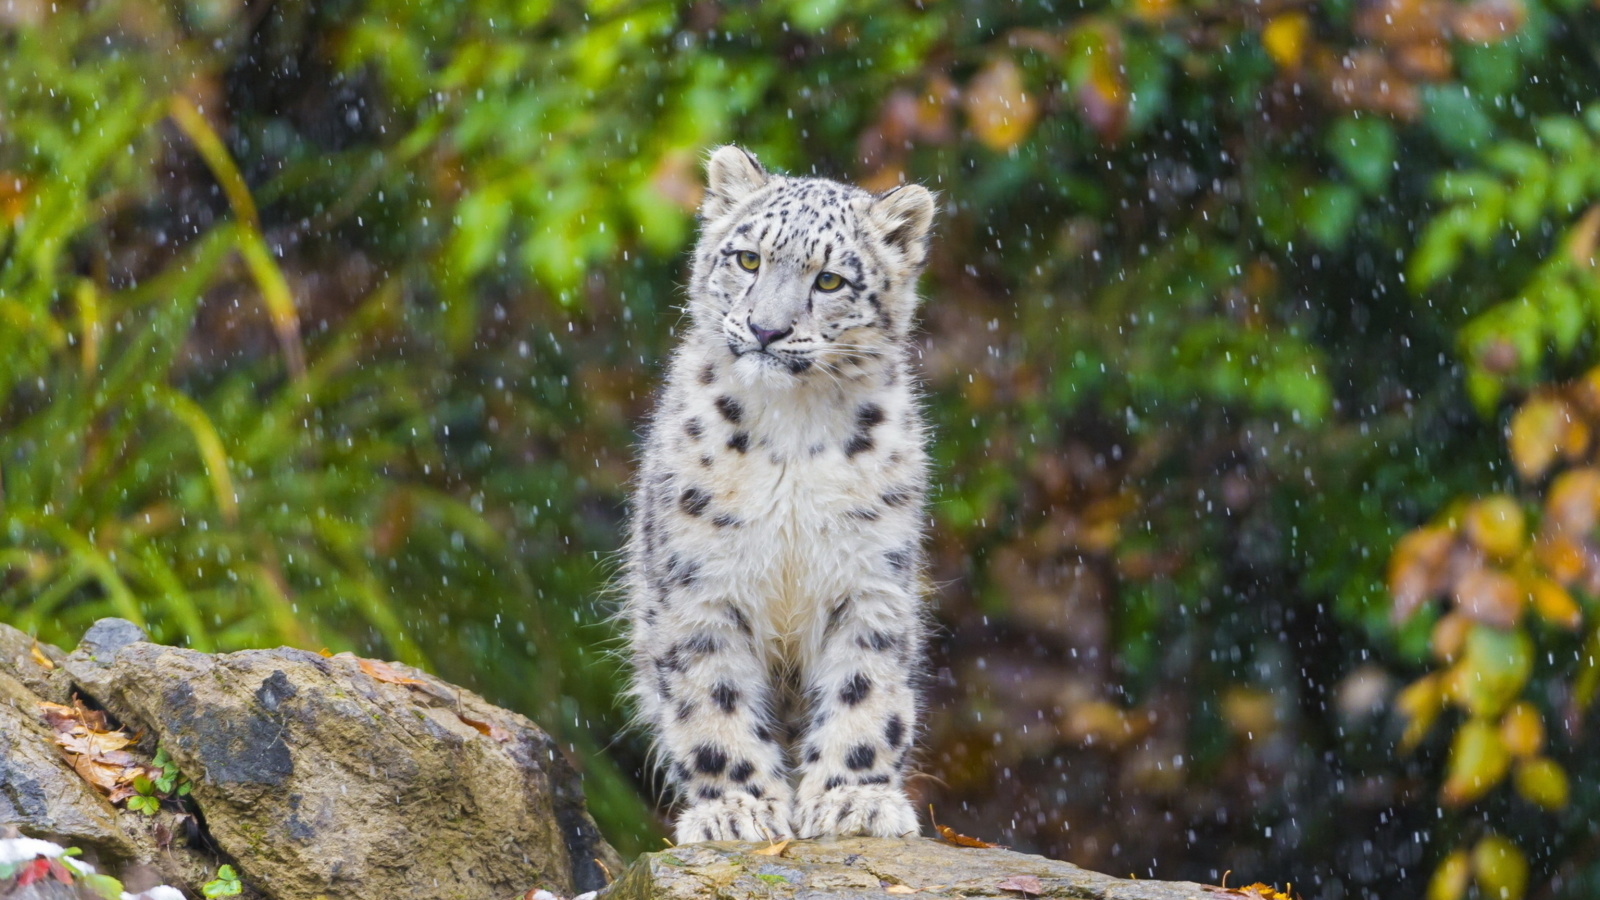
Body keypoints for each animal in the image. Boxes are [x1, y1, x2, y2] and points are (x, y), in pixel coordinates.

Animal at [617, 141, 934, 839]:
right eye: (748, 258)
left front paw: (852, 798)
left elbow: (865, 688)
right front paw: (736, 809)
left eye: (830, 281)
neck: (793, 428)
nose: (765, 329)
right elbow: (711, 695)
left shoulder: (870, 579)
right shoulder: (699, 584)